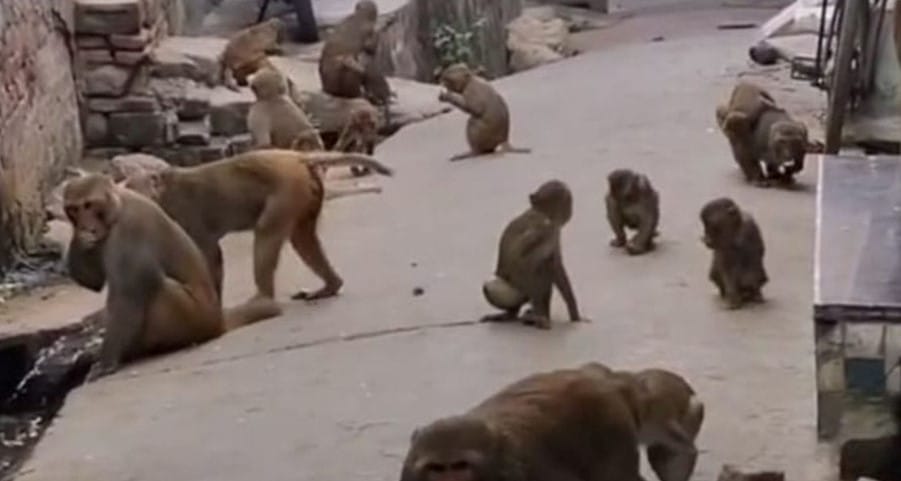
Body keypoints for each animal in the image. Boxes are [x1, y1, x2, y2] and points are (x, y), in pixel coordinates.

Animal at [63, 174, 281, 380]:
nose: (84, 225)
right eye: (73, 209)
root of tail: (218, 321)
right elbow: (93, 281)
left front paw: (106, 362)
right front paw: (79, 239)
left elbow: (127, 296)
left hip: (193, 319)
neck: (118, 207)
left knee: (159, 287)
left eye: (88, 205)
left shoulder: (130, 231)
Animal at [122, 149, 393, 303]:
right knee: (302, 236)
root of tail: (297, 157)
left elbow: (209, 254)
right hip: (305, 194)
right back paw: (330, 285)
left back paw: (263, 296)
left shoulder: (186, 215)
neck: (162, 195)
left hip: (287, 189)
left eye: (133, 190)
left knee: (266, 232)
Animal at [481, 180, 585, 330]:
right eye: (569, 201)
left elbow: (556, 266)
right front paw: (541, 317)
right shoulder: (545, 228)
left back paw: (520, 314)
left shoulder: (554, 233)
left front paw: (575, 315)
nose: (571, 211)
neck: (543, 214)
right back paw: (525, 314)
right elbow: (521, 260)